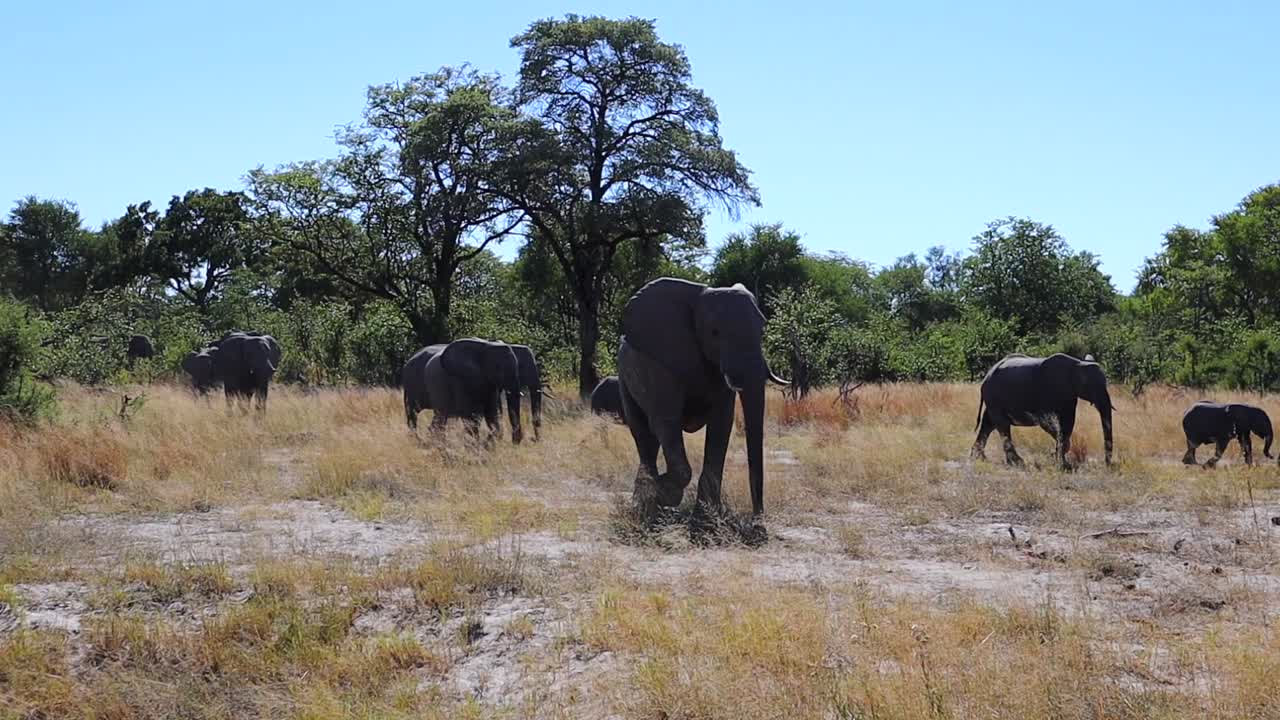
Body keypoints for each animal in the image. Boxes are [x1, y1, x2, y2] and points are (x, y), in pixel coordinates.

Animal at [616, 278, 789, 520]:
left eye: (762, 330)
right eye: (714, 333)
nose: (757, 516)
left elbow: (721, 425)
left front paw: (707, 515)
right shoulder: (659, 365)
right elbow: (666, 422)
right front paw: (664, 494)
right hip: (625, 377)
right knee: (643, 434)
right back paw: (644, 506)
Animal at [971, 353, 1114, 469]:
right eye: (1093, 386)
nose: (1106, 464)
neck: (1078, 364)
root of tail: (987, 375)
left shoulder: (1069, 396)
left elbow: (1068, 422)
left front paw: (1060, 460)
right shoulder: (1048, 392)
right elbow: (1049, 423)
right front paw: (1060, 460)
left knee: (988, 424)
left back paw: (978, 458)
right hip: (993, 395)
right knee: (1002, 425)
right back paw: (1017, 463)